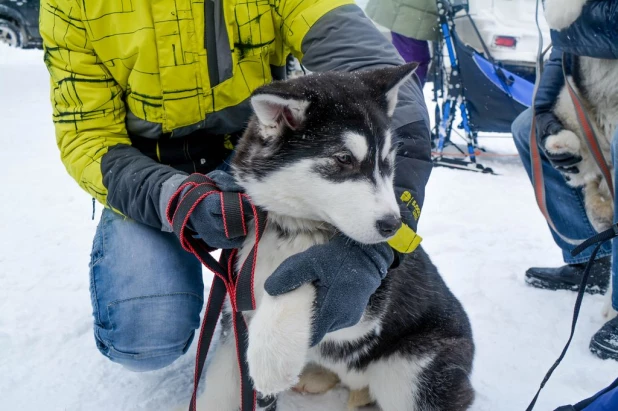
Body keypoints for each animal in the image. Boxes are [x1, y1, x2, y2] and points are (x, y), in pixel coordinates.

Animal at [197, 64, 472, 411]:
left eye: (387, 161)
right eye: (343, 159)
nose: (393, 226)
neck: (293, 229)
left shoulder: (362, 312)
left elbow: (306, 281)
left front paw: (272, 352)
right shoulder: (236, 315)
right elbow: (219, 386)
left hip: (410, 376)